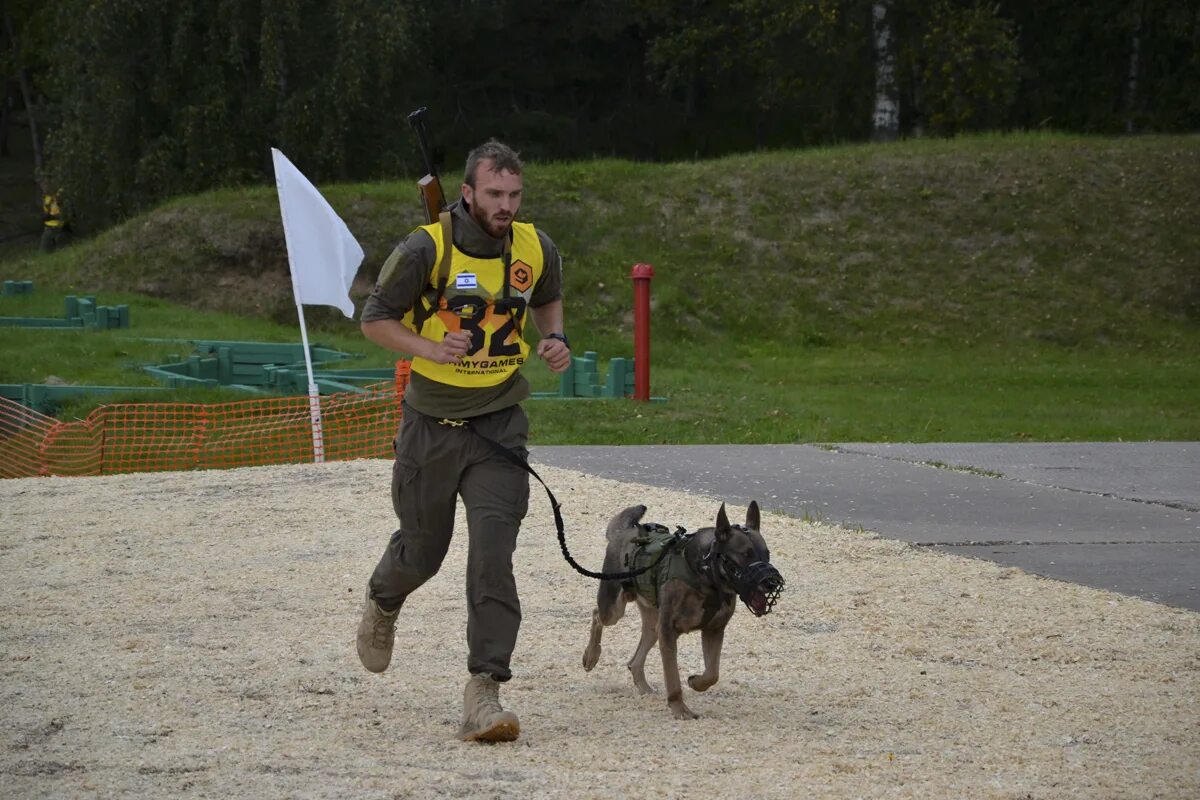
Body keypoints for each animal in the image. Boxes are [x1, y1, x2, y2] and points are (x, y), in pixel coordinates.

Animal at [583, 501, 787, 719]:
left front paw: (696, 682)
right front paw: (680, 709)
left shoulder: (714, 631)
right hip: (614, 610)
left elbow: (712, 673)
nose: (772, 582)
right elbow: (673, 677)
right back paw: (591, 655)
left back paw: (645, 688)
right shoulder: (668, 632)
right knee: (597, 615)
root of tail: (623, 532)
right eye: (745, 555)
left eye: (767, 554)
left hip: (653, 624)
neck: (707, 578)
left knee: (635, 660)